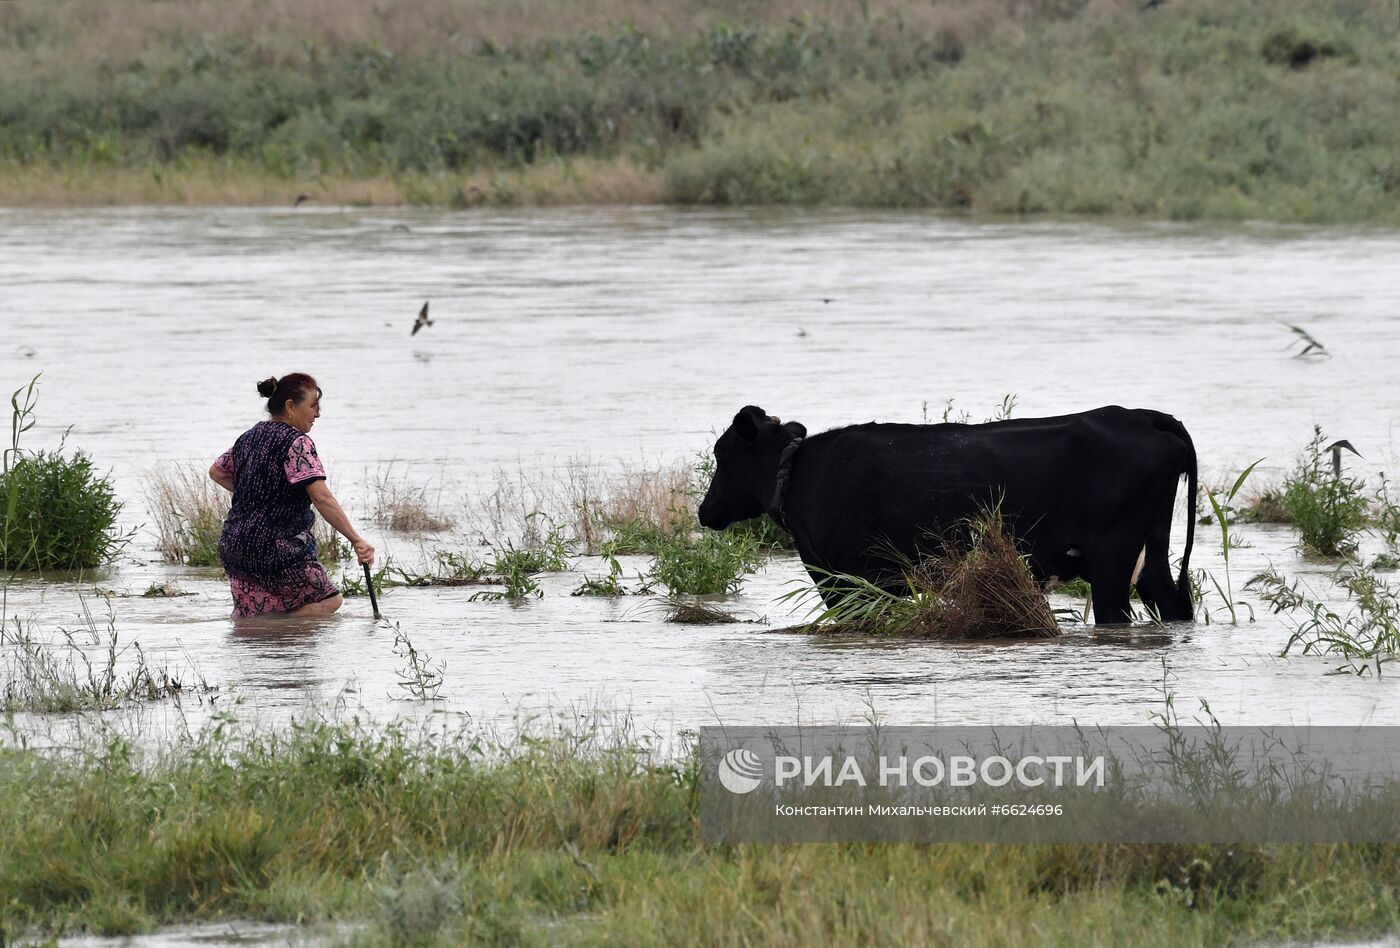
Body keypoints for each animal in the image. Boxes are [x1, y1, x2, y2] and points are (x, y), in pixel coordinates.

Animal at [694, 403, 1198, 624]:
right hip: (1151, 555)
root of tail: (1144, 415)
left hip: (1112, 561)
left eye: (722, 453)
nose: (704, 510)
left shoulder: (846, 579)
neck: (798, 472)